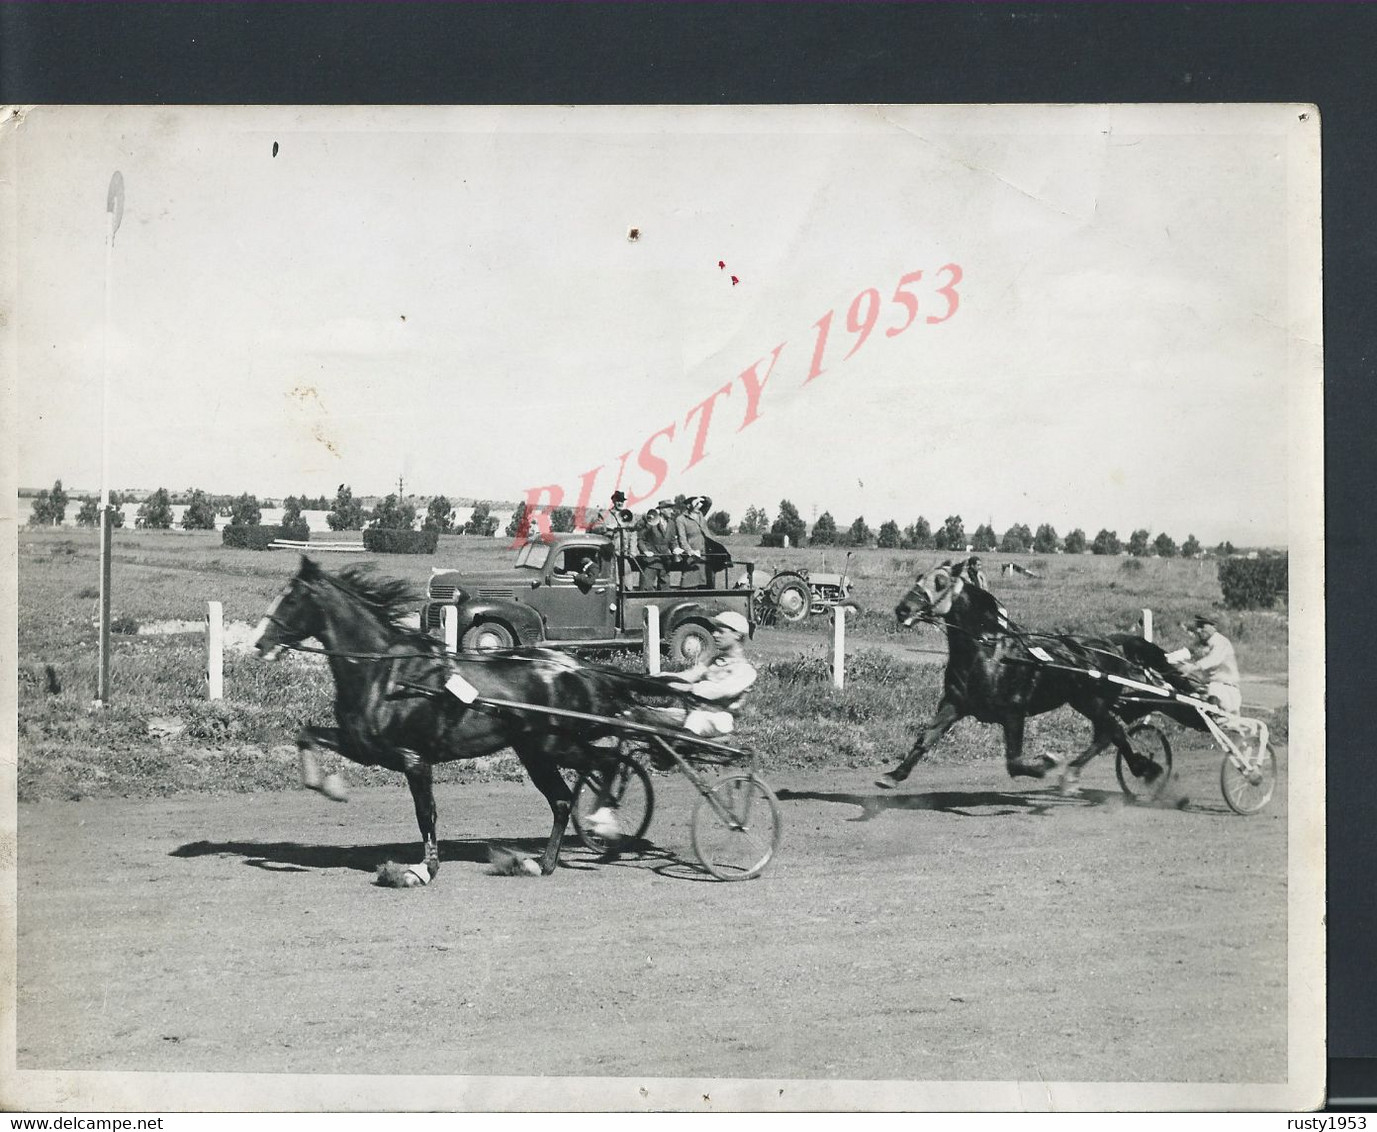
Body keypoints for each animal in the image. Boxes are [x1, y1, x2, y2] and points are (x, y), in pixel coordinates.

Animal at [250, 561, 630, 881]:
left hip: (556, 744)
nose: (260, 644)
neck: (386, 676)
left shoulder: (414, 758)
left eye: (291, 600)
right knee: (563, 800)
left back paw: (603, 823)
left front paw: (425, 868)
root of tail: (578, 668)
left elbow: (426, 812)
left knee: (608, 761)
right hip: (534, 752)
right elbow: (306, 735)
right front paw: (330, 787)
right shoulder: (364, 745)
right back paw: (544, 863)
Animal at [875, 561, 1200, 793]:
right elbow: (925, 738)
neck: (989, 651)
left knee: (1115, 733)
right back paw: (1076, 773)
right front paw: (894, 774)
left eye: (940, 583)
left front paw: (1048, 764)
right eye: (918, 577)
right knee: (1106, 735)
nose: (902, 609)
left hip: (1093, 700)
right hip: (1084, 701)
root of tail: (1108, 643)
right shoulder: (954, 703)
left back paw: (1142, 769)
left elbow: (1014, 762)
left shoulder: (1014, 712)